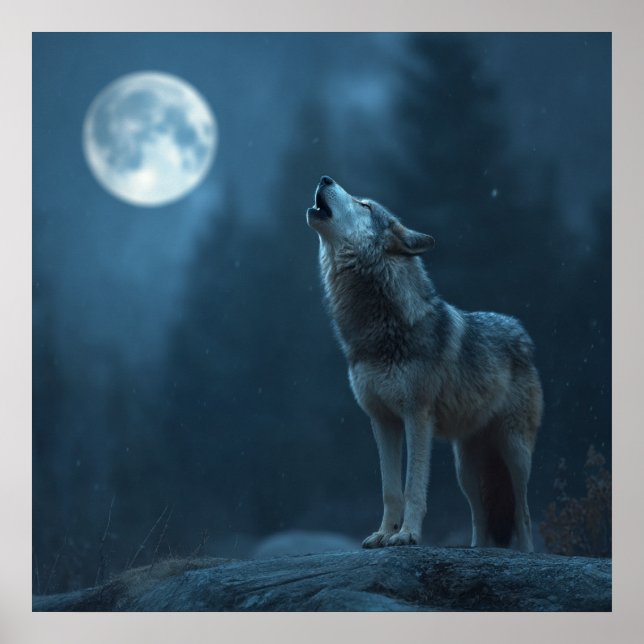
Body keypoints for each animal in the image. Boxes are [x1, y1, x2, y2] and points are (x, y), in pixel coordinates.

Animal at [306, 176, 543, 551]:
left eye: (364, 205)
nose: (325, 178)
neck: (379, 330)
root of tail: (521, 332)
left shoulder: (417, 416)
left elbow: (413, 487)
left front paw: (407, 535)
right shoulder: (382, 421)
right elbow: (390, 490)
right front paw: (384, 534)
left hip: (515, 453)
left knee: (524, 512)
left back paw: (525, 552)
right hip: (466, 469)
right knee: (480, 516)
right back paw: (478, 550)